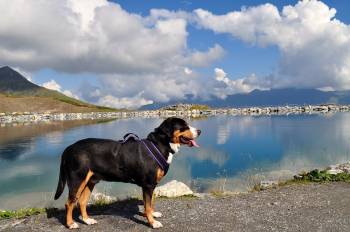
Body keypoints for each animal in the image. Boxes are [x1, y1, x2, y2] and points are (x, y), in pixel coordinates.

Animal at [53, 118, 201, 228]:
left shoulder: (151, 185)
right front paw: (152, 222)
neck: (160, 145)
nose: (199, 131)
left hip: (90, 181)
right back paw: (70, 224)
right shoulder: (148, 185)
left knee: (82, 202)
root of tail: (69, 148)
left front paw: (153, 215)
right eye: (184, 126)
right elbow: (148, 206)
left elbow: (150, 203)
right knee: (69, 203)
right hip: (77, 180)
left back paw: (87, 220)